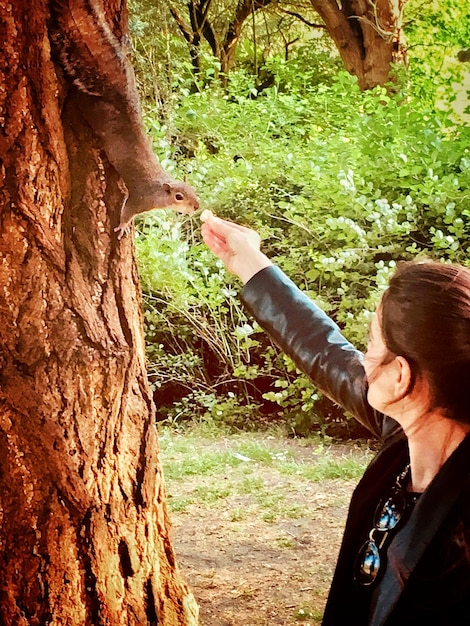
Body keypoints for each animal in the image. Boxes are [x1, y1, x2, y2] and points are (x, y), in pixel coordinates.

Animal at [49, 0, 198, 238]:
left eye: (193, 190)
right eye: (179, 197)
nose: (196, 207)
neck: (160, 189)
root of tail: (119, 96)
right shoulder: (140, 199)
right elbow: (128, 211)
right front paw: (123, 226)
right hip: (95, 110)